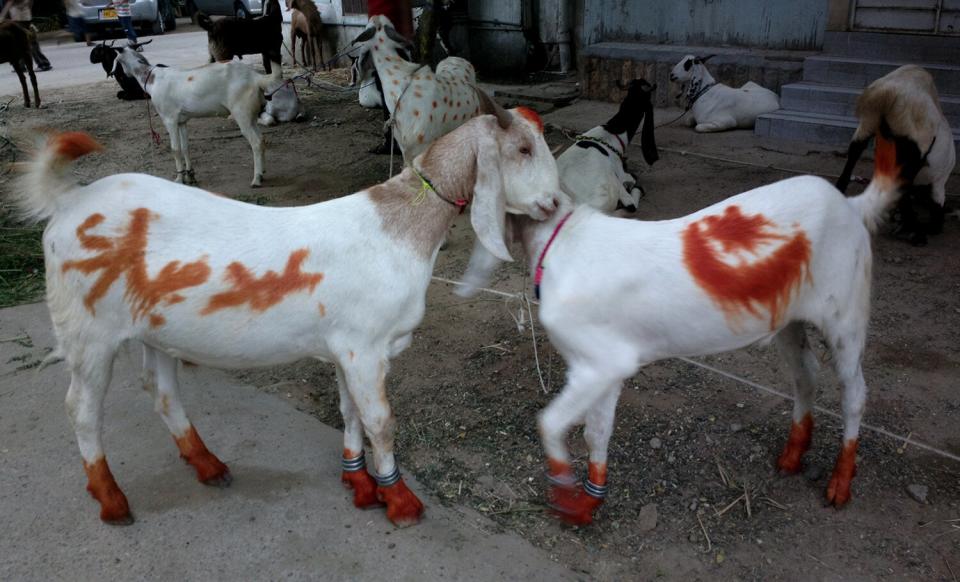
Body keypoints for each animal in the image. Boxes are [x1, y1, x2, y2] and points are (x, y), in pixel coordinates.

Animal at [11, 94, 560, 528]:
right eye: (522, 149)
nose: (554, 203)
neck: (399, 226)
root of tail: (71, 200)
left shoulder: (346, 349)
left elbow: (350, 411)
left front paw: (360, 486)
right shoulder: (365, 348)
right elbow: (381, 420)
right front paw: (400, 501)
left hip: (155, 329)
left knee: (162, 391)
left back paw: (208, 465)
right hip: (88, 334)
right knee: (81, 408)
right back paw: (112, 500)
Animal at [462, 116, 928, 528]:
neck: (560, 242)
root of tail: (850, 204)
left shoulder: (601, 362)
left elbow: (550, 422)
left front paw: (564, 495)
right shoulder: (600, 367)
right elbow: (597, 433)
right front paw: (586, 505)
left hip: (845, 314)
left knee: (855, 393)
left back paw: (840, 484)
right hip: (790, 318)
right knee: (806, 376)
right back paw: (792, 457)